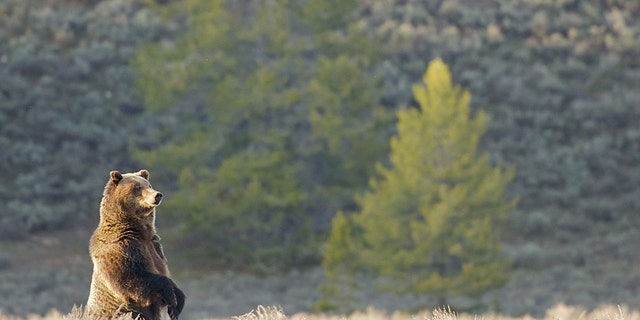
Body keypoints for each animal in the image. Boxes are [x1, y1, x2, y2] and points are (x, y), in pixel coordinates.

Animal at [85, 169, 185, 318]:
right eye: (137, 187)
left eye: (149, 185)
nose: (157, 195)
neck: (138, 232)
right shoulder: (121, 249)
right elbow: (130, 280)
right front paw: (171, 295)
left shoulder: (154, 247)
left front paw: (177, 303)